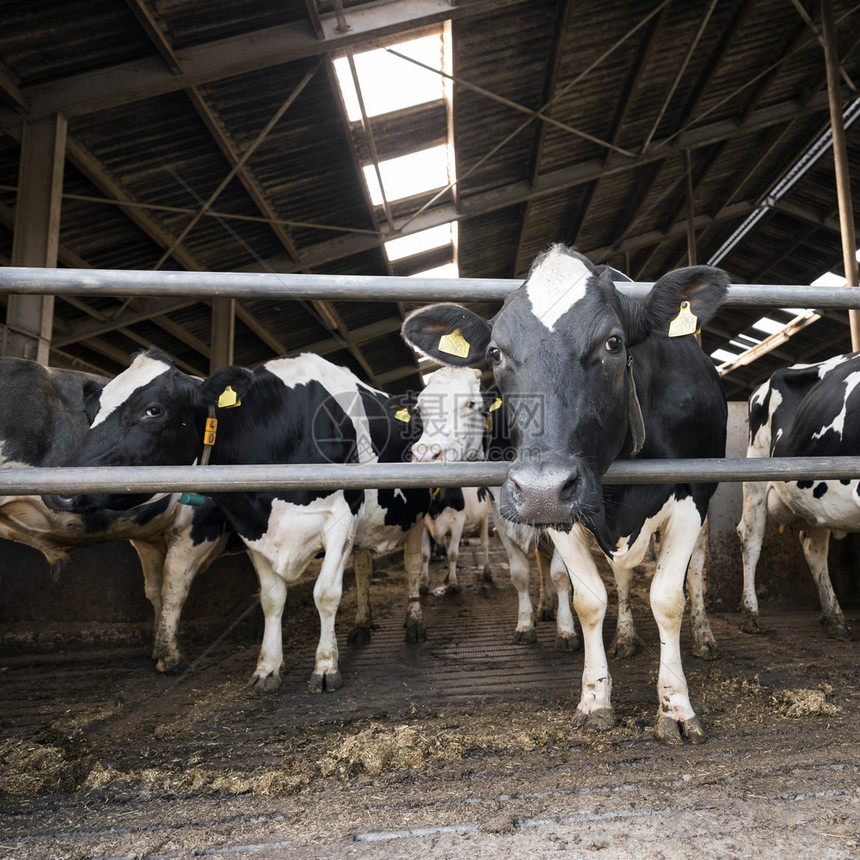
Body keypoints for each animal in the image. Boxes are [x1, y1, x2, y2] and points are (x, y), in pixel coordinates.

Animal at [0, 356, 228, 672]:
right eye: (90, 411)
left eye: (153, 410)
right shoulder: (199, 524)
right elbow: (174, 588)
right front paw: (172, 658)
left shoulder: (149, 535)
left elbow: (155, 590)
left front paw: (158, 649)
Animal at [43, 350, 430, 692]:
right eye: (92, 410)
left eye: (153, 410)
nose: (57, 490)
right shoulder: (251, 527)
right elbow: (271, 600)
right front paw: (267, 670)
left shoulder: (340, 519)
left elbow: (326, 593)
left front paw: (325, 668)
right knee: (364, 567)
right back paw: (362, 625)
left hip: (419, 515)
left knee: (412, 564)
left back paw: (414, 624)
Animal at [408, 364, 576, 652]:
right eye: (420, 408)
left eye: (470, 404)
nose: (425, 455)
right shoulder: (499, 516)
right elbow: (520, 574)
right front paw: (525, 625)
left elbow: (560, 574)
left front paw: (566, 631)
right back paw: (545, 607)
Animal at [740, 352, 860, 640]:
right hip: (754, 474)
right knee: (750, 538)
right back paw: (751, 615)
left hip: (821, 498)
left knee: (812, 545)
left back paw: (835, 618)